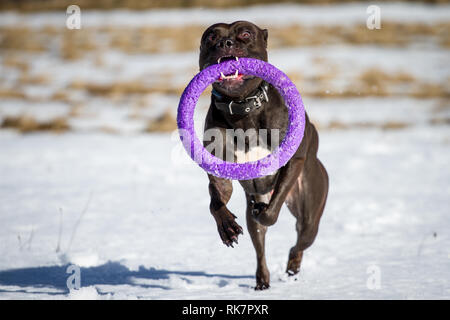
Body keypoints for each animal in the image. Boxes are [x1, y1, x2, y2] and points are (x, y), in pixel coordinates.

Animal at [199, 20, 328, 290]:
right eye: (211, 37)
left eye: (246, 33)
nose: (225, 43)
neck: (243, 107)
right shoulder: (220, 173)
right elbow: (216, 201)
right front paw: (226, 227)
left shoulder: (293, 163)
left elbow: (272, 210)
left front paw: (265, 212)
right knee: (260, 246)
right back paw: (262, 281)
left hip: (310, 215)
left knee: (298, 243)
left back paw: (292, 269)